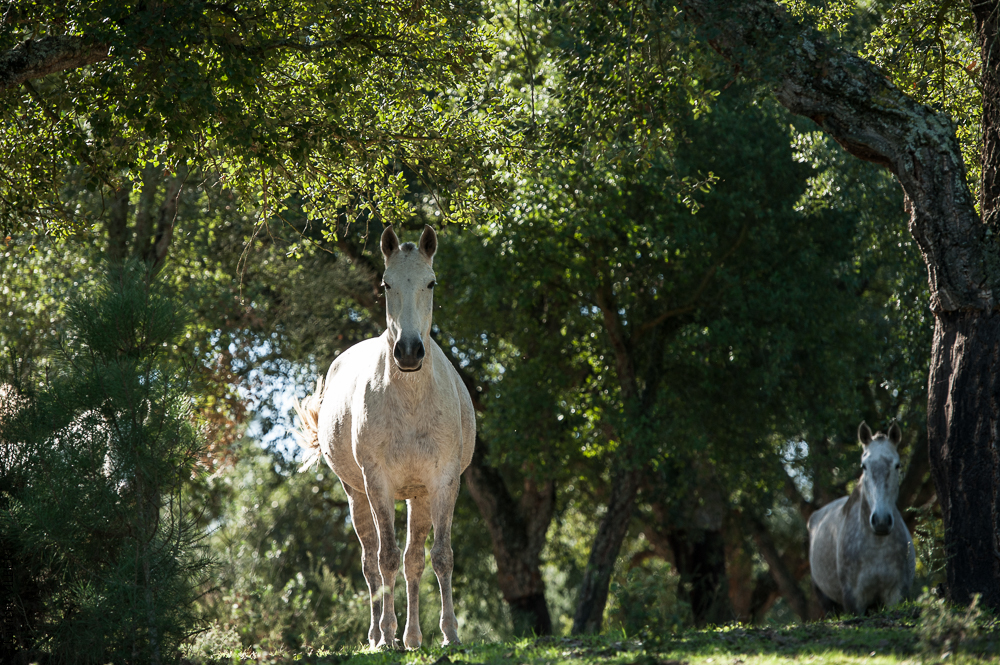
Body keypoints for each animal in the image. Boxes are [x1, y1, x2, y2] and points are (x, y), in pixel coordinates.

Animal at [294, 225, 475, 649]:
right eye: (386, 283)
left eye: (431, 282)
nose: (408, 352)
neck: (409, 401)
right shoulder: (377, 483)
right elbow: (386, 557)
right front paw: (387, 636)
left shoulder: (443, 482)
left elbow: (439, 556)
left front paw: (450, 634)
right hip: (356, 493)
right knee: (372, 561)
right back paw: (379, 635)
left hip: (418, 497)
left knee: (414, 560)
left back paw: (413, 638)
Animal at [808, 421, 915, 616]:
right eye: (864, 465)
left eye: (897, 465)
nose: (881, 522)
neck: (877, 547)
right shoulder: (854, 600)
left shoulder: (896, 594)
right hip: (827, 601)